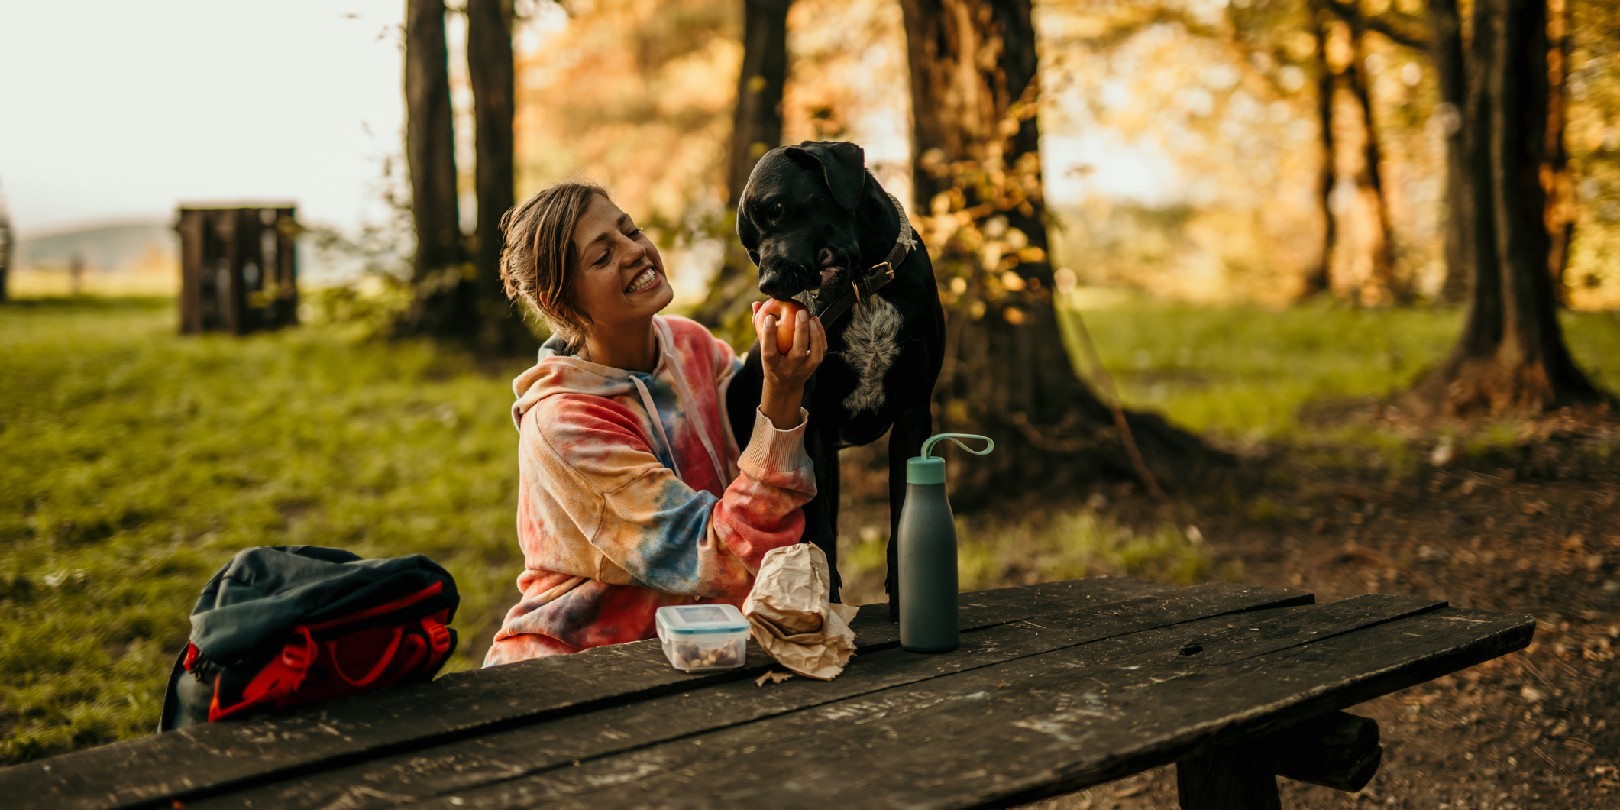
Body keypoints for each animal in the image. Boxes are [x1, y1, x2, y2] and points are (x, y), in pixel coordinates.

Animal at [725, 140, 946, 618]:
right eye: (750, 248)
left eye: (776, 208)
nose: (768, 283)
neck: (864, 291)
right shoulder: (814, 427)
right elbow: (819, 526)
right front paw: (822, 599)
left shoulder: (912, 414)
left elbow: (903, 510)